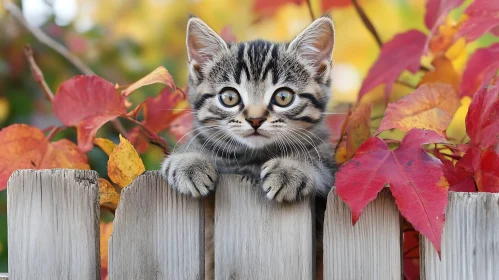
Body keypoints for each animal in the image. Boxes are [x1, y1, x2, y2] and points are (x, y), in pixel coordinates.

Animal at [162, 15, 338, 201]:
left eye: (283, 97)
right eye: (229, 97)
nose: (255, 119)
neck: (253, 157)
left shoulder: (328, 163)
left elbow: (319, 163)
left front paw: (291, 169)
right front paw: (189, 162)